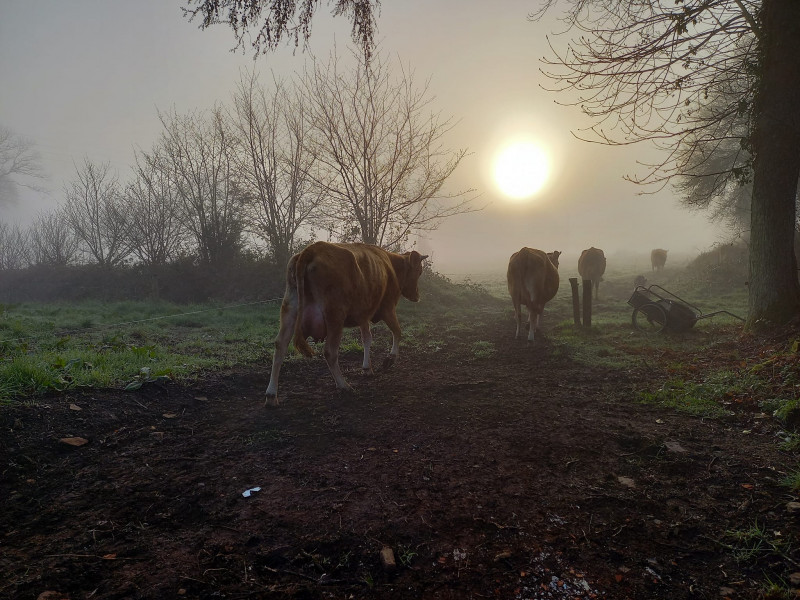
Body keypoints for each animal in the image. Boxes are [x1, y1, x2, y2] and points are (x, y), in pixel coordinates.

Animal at [265, 241, 427, 405]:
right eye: (419, 271)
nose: (417, 296)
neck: (391, 266)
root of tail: (313, 248)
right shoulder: (387, 307)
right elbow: (397, 331)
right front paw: (390, 359)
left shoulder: (363, 313)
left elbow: (367, 339)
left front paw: (367, 368)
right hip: (335, 315)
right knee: (329, 352)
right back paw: (343, 385)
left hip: (290, 309)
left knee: (280, 346)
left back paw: (271, 395)